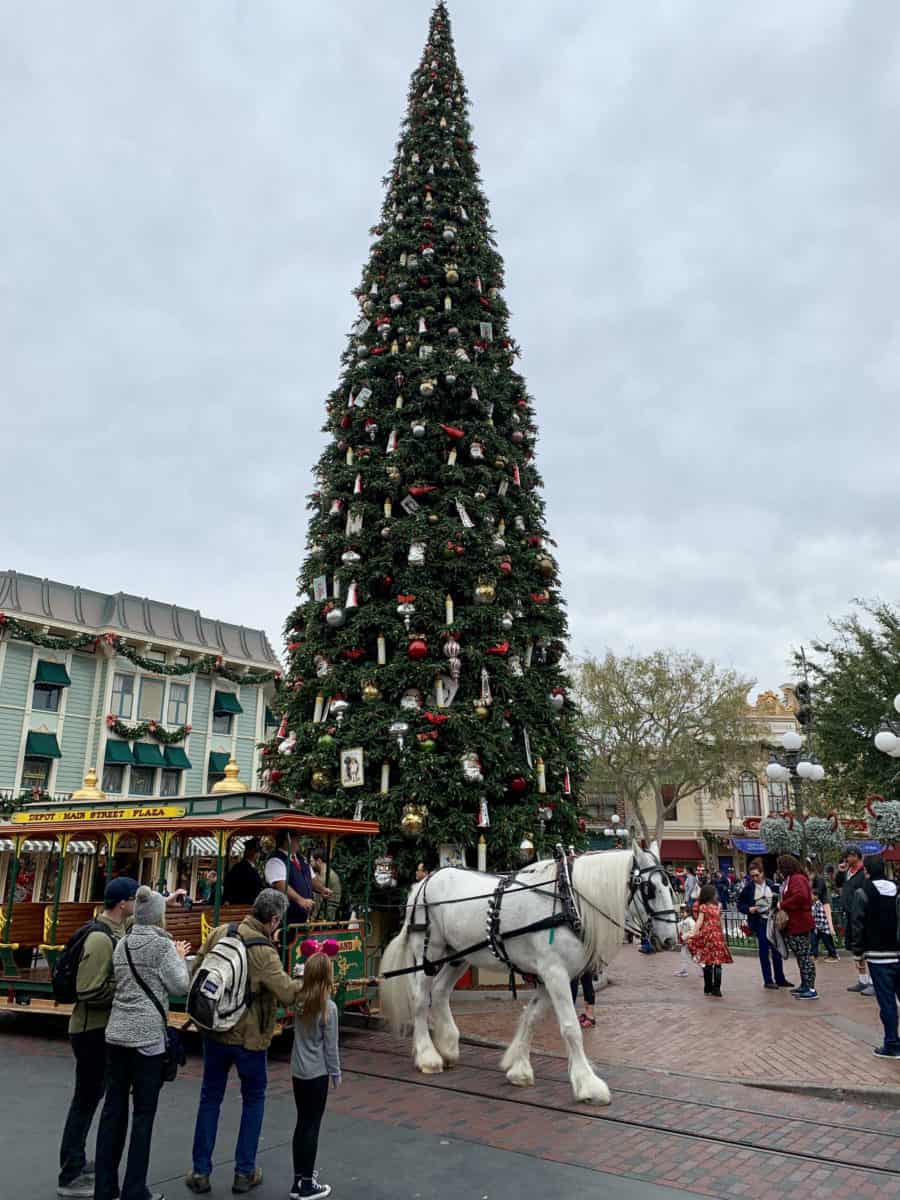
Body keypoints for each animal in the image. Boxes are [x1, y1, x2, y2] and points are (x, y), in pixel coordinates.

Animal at [376, 840, 681, 1099]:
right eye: (650, 889)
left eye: (671, 887)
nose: (671, 940)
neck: (571, 902)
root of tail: (424, 881)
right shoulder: (555, 972)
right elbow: (571, 1027)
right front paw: (588, 1084)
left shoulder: (552, 976)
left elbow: (532, 1017)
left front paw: (518, 1068)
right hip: (429, 951)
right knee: (419, 998)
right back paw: (428, 1056)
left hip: (459, 955)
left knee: (439, 993)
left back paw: (449, 1047)